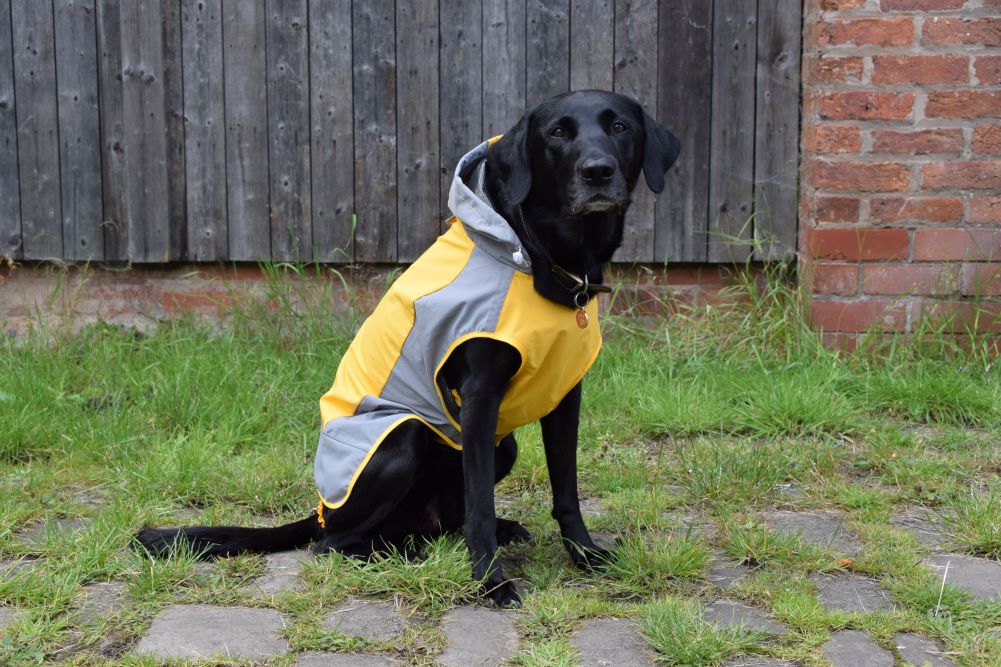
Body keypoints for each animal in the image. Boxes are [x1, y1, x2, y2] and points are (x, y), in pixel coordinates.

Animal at [137, 89, 680, 608]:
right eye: (558, 133)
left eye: (619, 126)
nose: (597, 171)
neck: (538, 255)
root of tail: (321, 511)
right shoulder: (479, 398)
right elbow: (481, 505)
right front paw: (490, 583)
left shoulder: (565, 394)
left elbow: (565, 487)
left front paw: (584, 555)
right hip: (403, 437)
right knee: (334, 543)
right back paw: (400, 552)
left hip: (501, 445)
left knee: (442, 521)